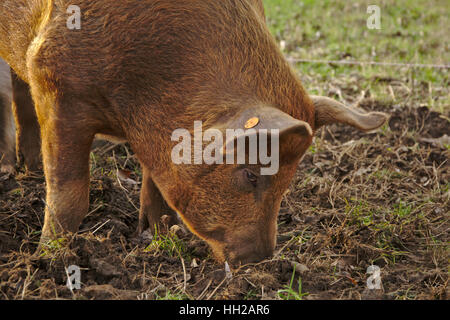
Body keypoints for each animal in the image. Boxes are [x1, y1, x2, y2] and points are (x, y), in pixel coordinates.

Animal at [0, 0, 386, 264]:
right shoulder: (56, 82)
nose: (259, 260)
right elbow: (70, 193)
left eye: (289, 179)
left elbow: (156, 187)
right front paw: (49, 256)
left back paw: (30, 171)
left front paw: (159, 238)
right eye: (251, 173)